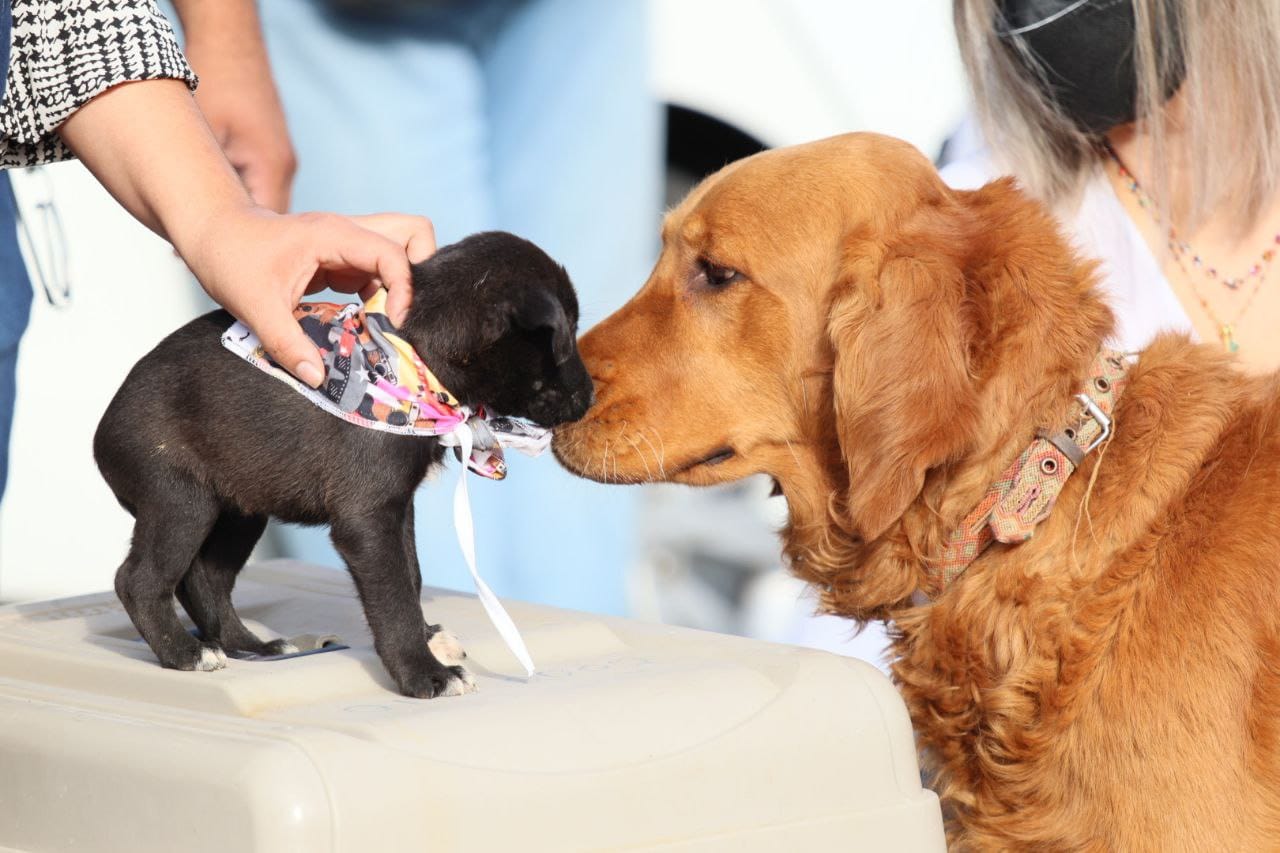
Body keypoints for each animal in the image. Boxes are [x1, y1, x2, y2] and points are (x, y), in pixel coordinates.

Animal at [96, 229, 593, 696]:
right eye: (565, 335)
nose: (590, 397)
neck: (414, 360)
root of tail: (101, 434)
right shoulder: (366, 521)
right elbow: (393, 597)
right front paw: (423, 672)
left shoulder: (397, 508)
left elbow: (411, 575)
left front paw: (428, 637)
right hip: (180, 500)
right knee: (137, 580)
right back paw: (185, 653)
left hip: (240, 509)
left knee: (205, 578)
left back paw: (253, 646)